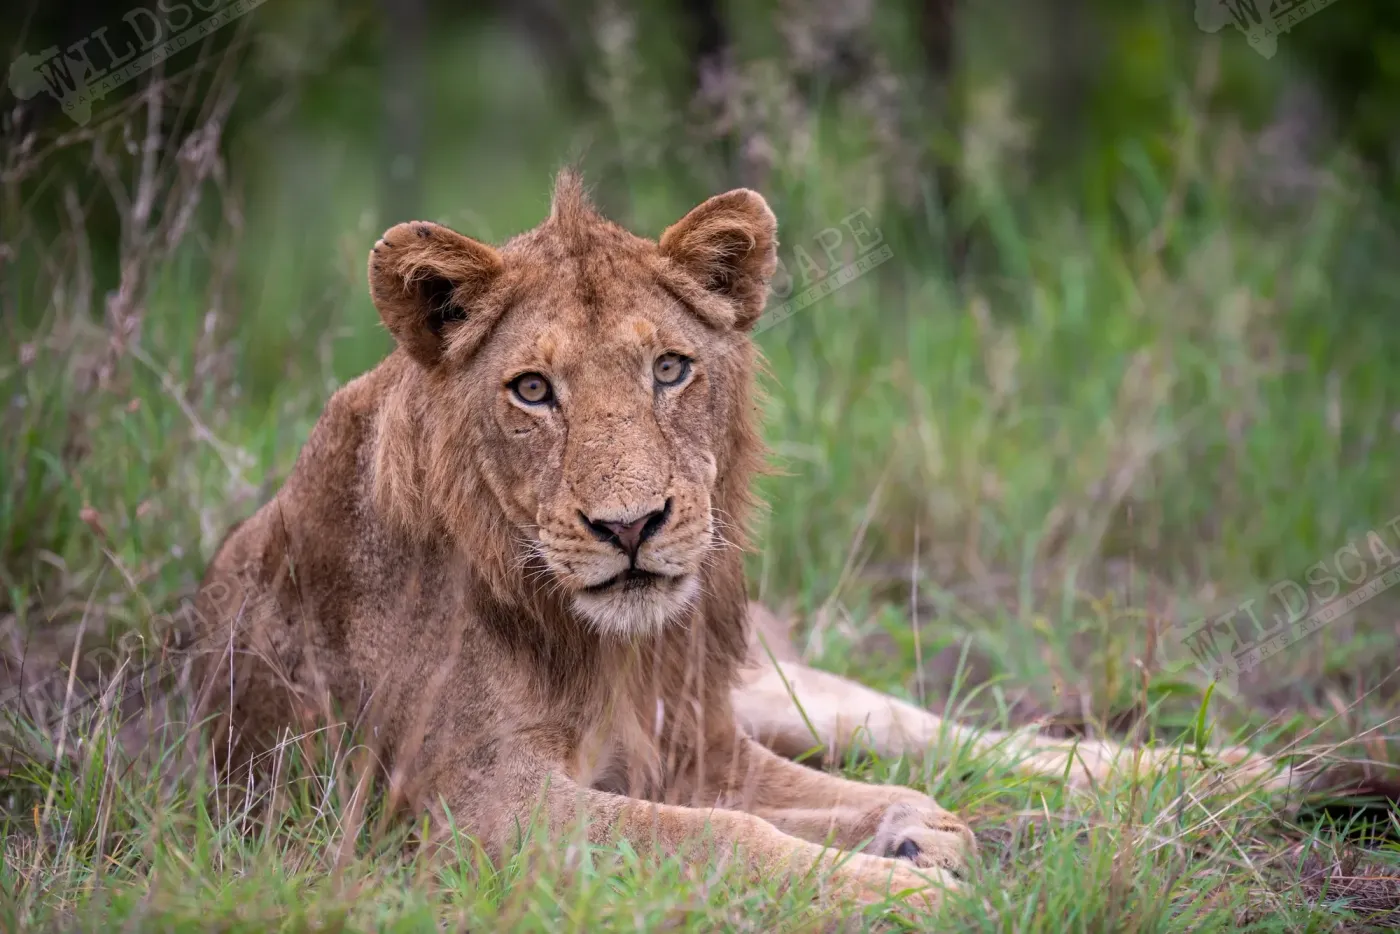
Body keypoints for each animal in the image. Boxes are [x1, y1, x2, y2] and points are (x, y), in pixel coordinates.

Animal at [194, 172, 1282, 912]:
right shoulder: (472, 805)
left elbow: (825, 793)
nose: (630, 526)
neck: (602, 648)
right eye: (532, 390)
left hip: (769, 688)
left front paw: (912, 832)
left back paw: (1243, 773)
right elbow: (727, 834)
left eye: (671, 369)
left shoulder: (694, 741)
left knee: (935, 728)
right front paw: (904, 882)